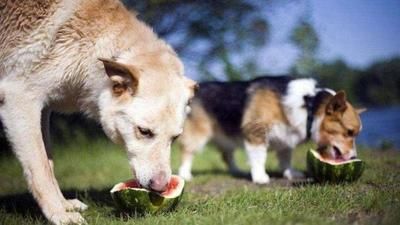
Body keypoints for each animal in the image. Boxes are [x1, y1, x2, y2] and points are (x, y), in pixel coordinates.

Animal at [0, 0, 195, 224]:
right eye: (144, 131)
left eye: (175, 138)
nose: (161, 187)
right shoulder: (20, 99)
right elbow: (40, 168)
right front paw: (58, 214)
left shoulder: (43, 109)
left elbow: (49, 163)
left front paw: (64, 205)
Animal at [177, 76, 362, 184]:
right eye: (349, 132)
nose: (354, 158)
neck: (309, 105)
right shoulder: (256, 132)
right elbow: (259, 158)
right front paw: (260, 177)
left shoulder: (287, 138)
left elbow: (286, 159)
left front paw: (290, 174)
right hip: (198, 135)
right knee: (187, 153)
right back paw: (185, 174)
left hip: (227, 138)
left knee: (226, 155)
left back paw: (236, 171)